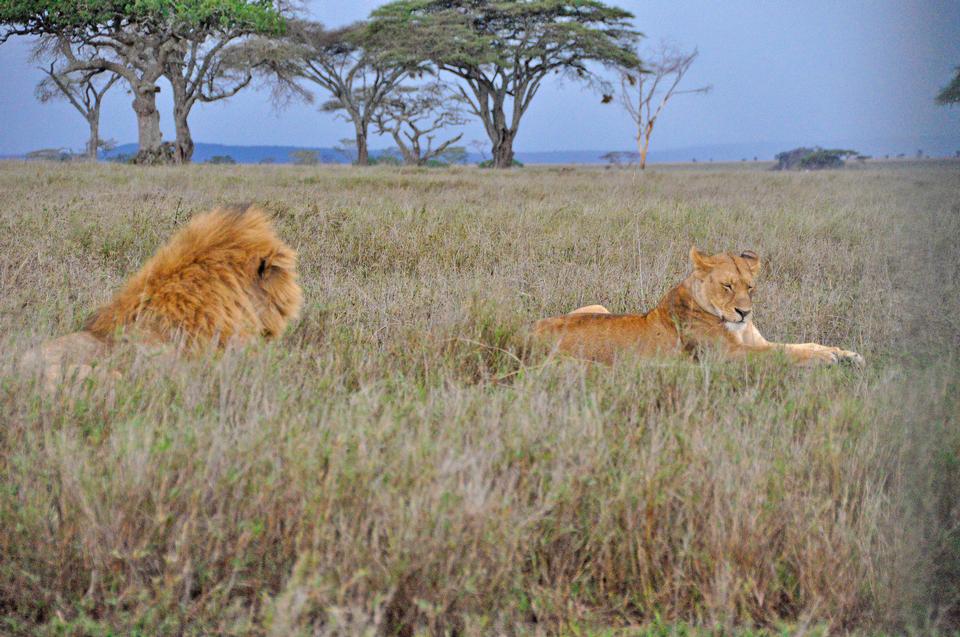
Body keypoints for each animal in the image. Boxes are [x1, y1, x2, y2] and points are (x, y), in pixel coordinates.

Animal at [536, 248, 868, 368]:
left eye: (750, 286)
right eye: (727, 286)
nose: (745, 313)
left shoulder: (755, 341)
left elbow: (801, 344)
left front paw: (845, 353)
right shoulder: (727, 355)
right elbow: (782, 354)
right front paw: (825, 359)